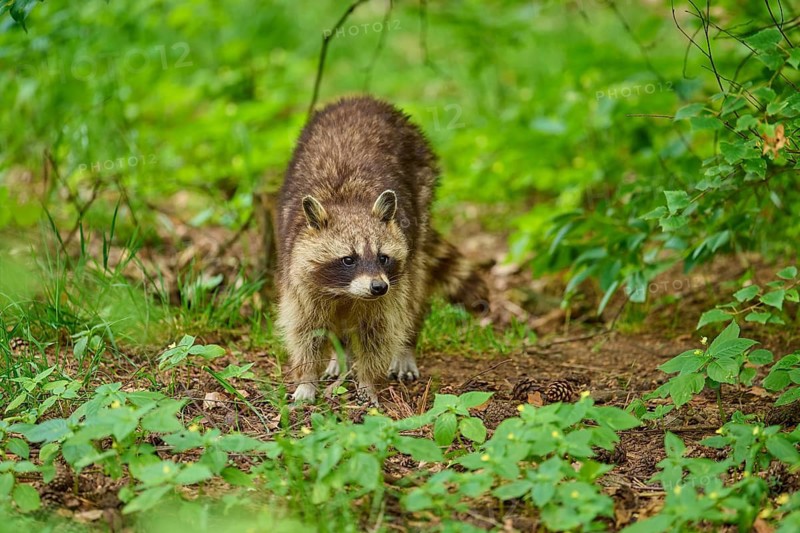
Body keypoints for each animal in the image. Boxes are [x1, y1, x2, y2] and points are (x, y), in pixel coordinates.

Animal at [276, 96, 487, 404]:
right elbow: (305, 329)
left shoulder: (390, 288)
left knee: (414, 292)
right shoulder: (299, 278)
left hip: (423, 183)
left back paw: (405, 345)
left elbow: (379, 331)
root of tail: (362, 99)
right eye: (348, 259)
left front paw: (366, 381)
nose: (378, 287)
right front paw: (307, 378)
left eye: (383, 257)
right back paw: (340, 356)